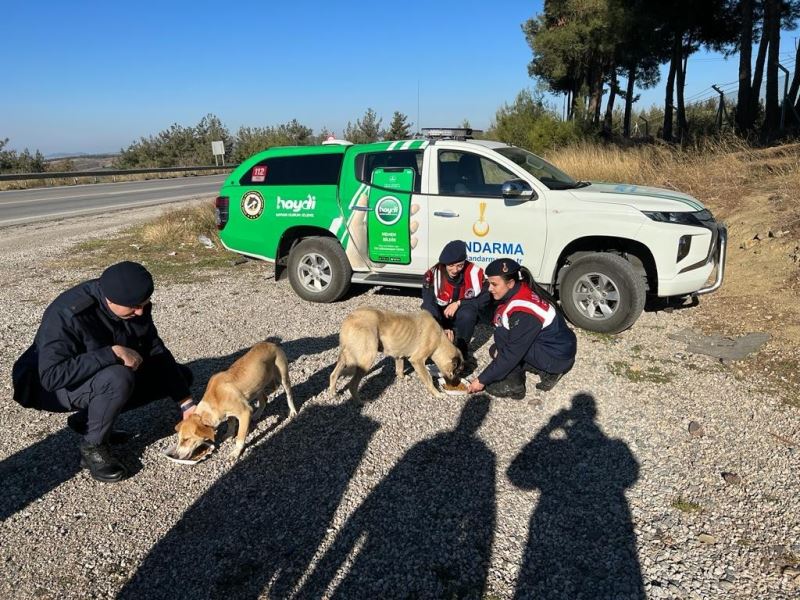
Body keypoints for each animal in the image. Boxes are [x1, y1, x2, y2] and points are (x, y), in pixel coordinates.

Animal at [328, 308, 462, 400]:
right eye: (456, 372)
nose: (457, 384)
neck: (439, 339)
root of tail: (349, 318)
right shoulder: (417, 360)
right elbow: (428, 379)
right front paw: (437, 393)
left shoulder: (399, 354)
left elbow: (399, 368)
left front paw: (402, 377)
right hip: (367, 358)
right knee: (352, 385)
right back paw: (359, 401)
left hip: (345, 356)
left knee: (334, 374)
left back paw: (333, 391)